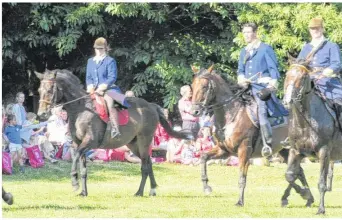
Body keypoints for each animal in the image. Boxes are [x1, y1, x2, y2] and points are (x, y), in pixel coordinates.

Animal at [34, 68, 192, 196]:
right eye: (39, 91)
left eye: (50, 90)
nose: (41, 114)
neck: (81, 110)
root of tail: (151, 106)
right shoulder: (77, 144)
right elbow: (82, 167)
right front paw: (83, 192)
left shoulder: (88, 142)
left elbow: (76, 157)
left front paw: (74, 182)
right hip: (133, 144)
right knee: (147, 163)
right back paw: (148, 191)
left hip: (144, 140)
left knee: (146, 165)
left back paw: (142, 192)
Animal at [190, 66, 288, 207]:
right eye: (192, 86)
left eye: (204, 87)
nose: (194, 111)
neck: (231, 116)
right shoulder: (224, 150)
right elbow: (203, 157)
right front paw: (206, 187)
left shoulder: (244, 150)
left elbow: (242, 177)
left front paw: (240, 201)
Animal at [282, 62, 340, 214]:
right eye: (287, 74)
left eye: (303, 77)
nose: (288, 100)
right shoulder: (295, 151)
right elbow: (290, 175)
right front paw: (305, 194)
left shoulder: (324, 152)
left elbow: (321, 182)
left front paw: (321, 209)